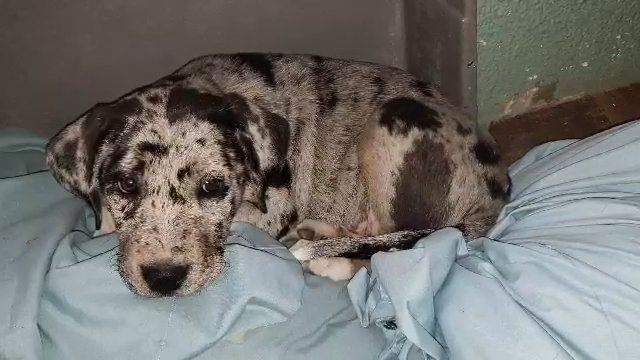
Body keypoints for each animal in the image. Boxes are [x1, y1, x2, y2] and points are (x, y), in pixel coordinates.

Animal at [46, 52, 510, 296]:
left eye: (213, 186)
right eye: (127, 184)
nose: (163, 280)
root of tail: (497, 190)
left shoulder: (272, 209)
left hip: (393, 119)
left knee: (403, 251)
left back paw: (328, 261)